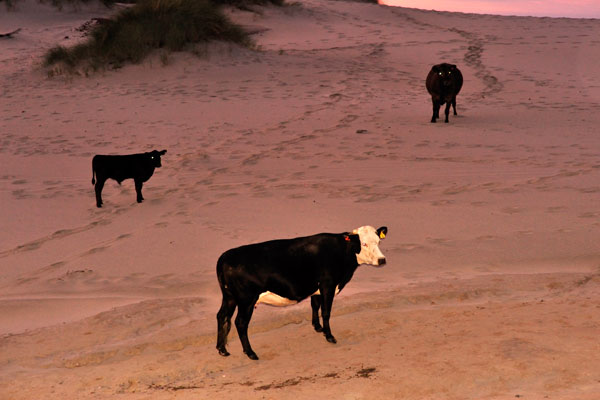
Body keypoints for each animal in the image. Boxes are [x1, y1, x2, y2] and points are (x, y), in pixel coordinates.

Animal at [216, 227, 390, 360]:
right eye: (364, 243)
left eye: (379, 241)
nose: (382, 260)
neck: (341, 251)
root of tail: (225, 257)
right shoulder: (328, 285)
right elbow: (326, 312)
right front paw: (329, 336)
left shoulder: (317, 288)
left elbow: (315, 305)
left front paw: (318, 327)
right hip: (246, 300)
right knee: (240, 322)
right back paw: (250, 353)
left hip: (229, 297)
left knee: (221, 316)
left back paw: (222, 349)